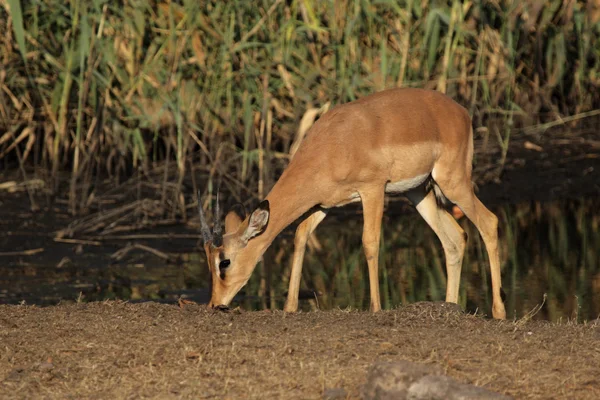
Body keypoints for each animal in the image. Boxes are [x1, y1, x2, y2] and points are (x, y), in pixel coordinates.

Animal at [200, 86, 506, 318]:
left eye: (224, 262)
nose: (215, 303)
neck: (333, 145)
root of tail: (461, 112)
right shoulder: (323, 204)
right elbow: (300, 237)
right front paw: (290, 307)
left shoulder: (372, 190)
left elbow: (369, 243)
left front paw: (376, 308)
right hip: (419, 193)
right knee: (455, 238)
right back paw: (451, 307)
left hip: (453, 182)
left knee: (489, 222)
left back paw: (498, 312)